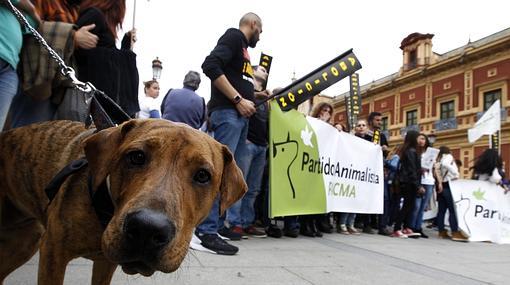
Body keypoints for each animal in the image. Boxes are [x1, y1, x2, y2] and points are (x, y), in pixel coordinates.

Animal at [0, 118, 247, 282]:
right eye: (136, 156)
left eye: (203, 176)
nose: (147, 229)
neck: (106, 208)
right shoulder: (53, 253)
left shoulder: (105, 263)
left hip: (26, 240)